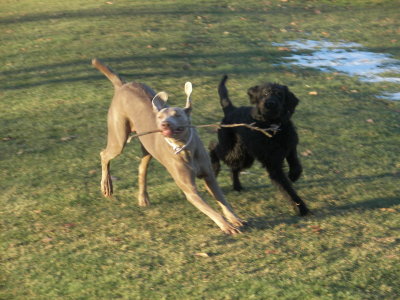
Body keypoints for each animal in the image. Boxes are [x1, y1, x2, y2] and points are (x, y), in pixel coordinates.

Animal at [93, 58, 244, 234]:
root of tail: (122, 85)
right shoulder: (190, 190)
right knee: (104, 154)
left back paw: (143, 197)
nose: (164, 124)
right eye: (159, 117)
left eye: (177, 114)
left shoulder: (209, 176)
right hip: (119, 138)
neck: (184, 148)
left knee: (142, 167)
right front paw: (226, 225)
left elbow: (222, 200)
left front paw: (234, 218)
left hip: (147, 148)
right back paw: (107, 185)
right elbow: (210, 209)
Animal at [209, 75, 310, 216]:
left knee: (234, 168)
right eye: (265, 93)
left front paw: (294, 175)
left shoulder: (290, 146)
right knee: (213, 147)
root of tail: (231, 110)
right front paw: (301, 208)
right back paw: (215, 168)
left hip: (244, 157)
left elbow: (295, 162)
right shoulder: (273, 165)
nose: (270, 104)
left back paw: (237, 186)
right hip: (230, 149)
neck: (272, 127)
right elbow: (287, 188)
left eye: (280, 94)